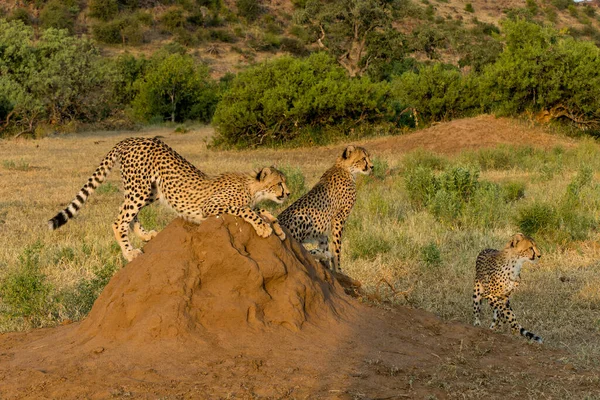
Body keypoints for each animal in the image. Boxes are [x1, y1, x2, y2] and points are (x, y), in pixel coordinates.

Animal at [48, 138, 290, 262]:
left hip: (150, 191)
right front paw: (263, 228)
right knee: (119, 220)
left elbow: (261, 211)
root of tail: (131, 138)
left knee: (126, 212)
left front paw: (277, 227)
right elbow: (245, 210)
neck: (252, 187)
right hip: (139, 187)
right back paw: (130, 252)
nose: (288, 193)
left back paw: (145, 235)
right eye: (280, 183)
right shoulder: (211, 206)